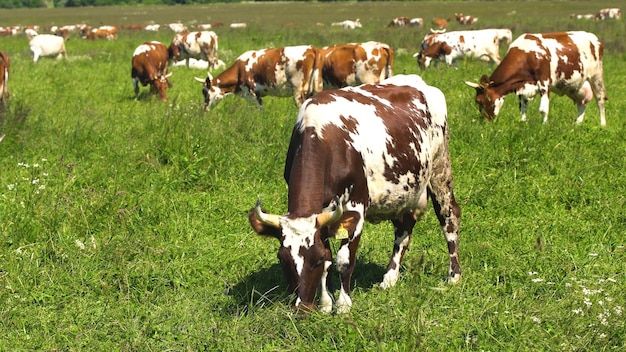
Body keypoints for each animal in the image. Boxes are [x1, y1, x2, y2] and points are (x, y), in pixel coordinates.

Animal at [194, 45, 322, 109]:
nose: (204, 109)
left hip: (299, 91)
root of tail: (311, 48)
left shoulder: (253, 94)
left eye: (204, 92)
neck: (239, 70)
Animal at [247, 75, 458, 314]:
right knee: (403, 229)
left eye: (315, 259)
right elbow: (330, 260)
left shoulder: (356, 205)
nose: (302, 308)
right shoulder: (324, 217)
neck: (321, 132)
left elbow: (344, 259)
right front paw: (326, 304)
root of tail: (417, 81)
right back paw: (389, 279)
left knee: (449, 218)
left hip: (440, 169)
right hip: (403, 191)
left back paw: (454, 276)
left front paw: (343, 304)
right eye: (283, 260)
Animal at [464, 31, 604, 126]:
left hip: (596, 76)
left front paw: (544, 126)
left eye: (480, 101)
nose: (486, 122)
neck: (527, 54)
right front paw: (523, 123)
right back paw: (577, 124)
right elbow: (522, 107)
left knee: (600, 100)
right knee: (582, 103)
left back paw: (602, 125)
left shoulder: (545, 83)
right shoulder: (522, 86)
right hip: (575, 86)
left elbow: (543, 110)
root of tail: (594, 37)